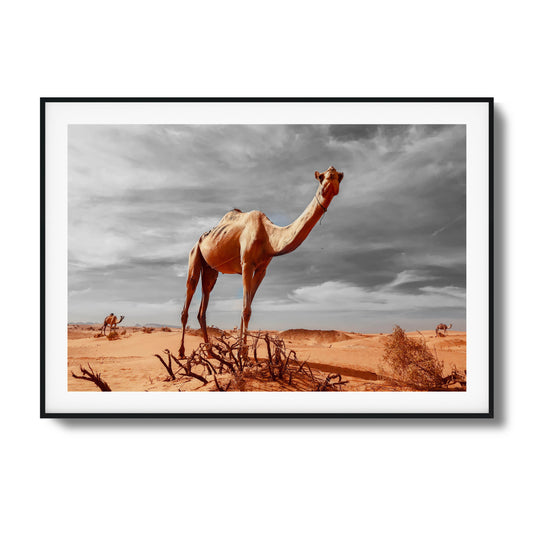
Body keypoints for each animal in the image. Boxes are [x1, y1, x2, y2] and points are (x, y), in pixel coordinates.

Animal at [179, 165, 344, 358]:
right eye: (324, 176)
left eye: (338, 177)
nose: (332, 182)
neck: (269, 237)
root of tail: (200, 239)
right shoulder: (246, 264)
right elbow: (246, 309)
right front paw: (242, 354)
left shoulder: (262, 269)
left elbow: (247, 308)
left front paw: (242, 353)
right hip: (195, 254)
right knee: (190, 290)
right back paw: (182, 352)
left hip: (211, 269)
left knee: (203, 303)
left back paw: (210, 351)